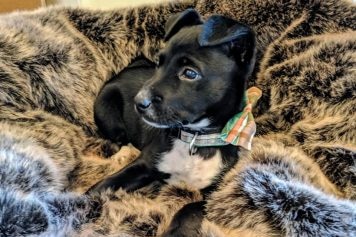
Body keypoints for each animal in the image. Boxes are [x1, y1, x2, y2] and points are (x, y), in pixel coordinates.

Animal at [90, 8, 254, 235]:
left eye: (190, 73)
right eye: (160, 63)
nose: (139, 102)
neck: (193, 139)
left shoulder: (213, 195)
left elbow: (189, 210)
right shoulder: (143, 165)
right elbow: (104, 185)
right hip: (107, 112)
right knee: (119, 139)